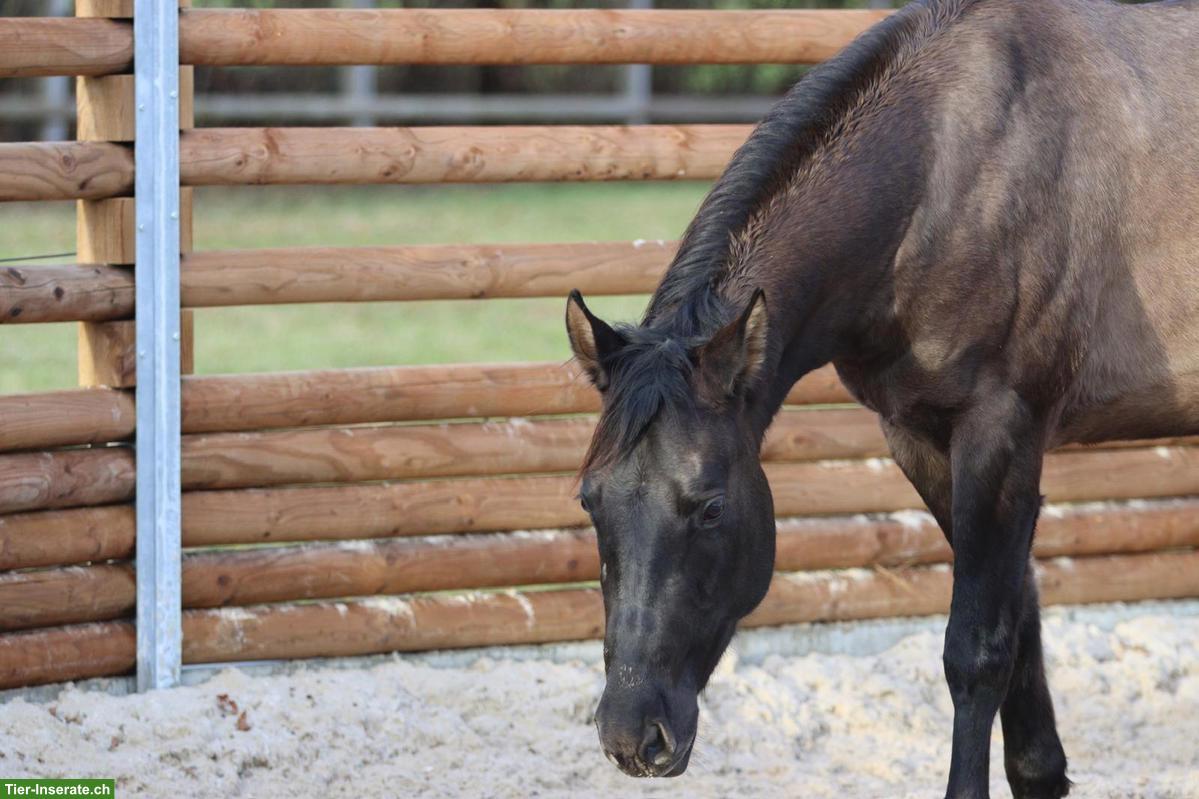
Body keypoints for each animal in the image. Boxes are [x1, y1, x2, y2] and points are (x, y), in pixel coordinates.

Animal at [562, 0, 1199, 795]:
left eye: (708, 507)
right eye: (590, 501)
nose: (630, 735)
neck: (948, 175)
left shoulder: (1001, 432)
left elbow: (977, 649)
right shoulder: (921, 439)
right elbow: (1019, 628)